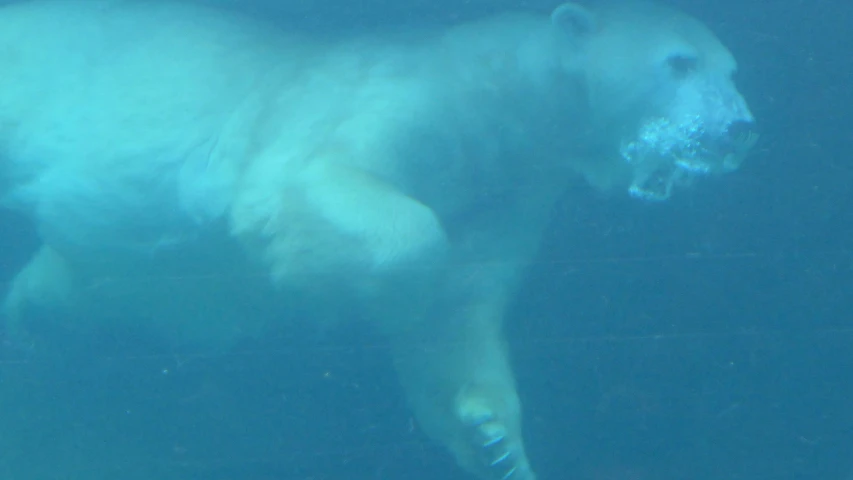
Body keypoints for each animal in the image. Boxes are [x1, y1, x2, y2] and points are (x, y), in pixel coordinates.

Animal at [0, 0, 756, 480]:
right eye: (678, 62)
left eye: (730, 69)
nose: (736, 128)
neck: (499, 102)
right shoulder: (389, 97)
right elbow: (323, 189)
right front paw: (361, 295)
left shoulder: (509, 189)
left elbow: (464, 307)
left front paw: (494, 441)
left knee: (71, 282)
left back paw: (30, 321)